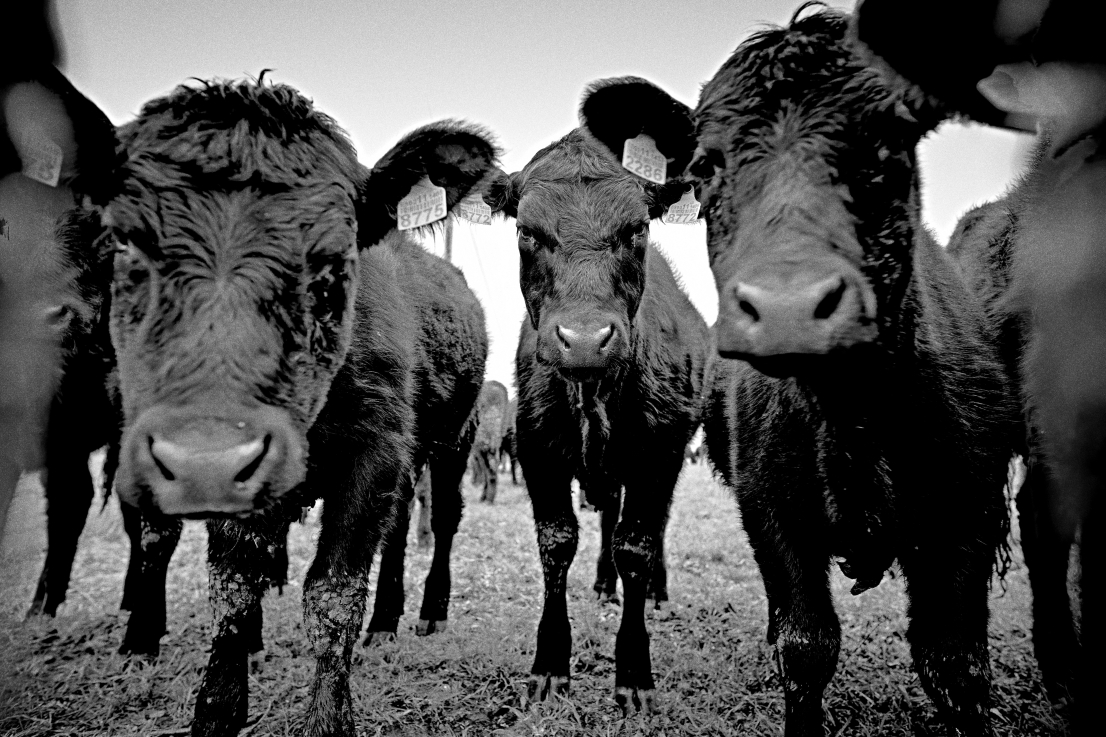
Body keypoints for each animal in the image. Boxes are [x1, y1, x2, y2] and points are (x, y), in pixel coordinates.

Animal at [98, 78, 498, 736]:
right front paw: (217, 710)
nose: (205, 455)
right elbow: (234, 590)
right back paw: (384, 623)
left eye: (333, 263)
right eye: (126, 246)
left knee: (441, 519)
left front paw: (329, 720)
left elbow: (333, 594)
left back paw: (428, 611)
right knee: (393, 534)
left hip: (454, 439)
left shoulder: (373, 451)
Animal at [486, 88, 710, 713]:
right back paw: (603, 583)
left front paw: (633, 670)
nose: (585, 339)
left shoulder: (661, 452)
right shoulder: (535, 446)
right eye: (527, 232)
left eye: (637, 230)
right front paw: (549, 665)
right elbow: (557, 542)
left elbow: (638, 542)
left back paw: (653, 591)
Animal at [578, 9, 1020, 735]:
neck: (853, 415)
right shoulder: (773, 508)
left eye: (887, 142)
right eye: (706, 166)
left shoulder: (968, 511)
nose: (788, 306)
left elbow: (954, 664)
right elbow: (805, 645)